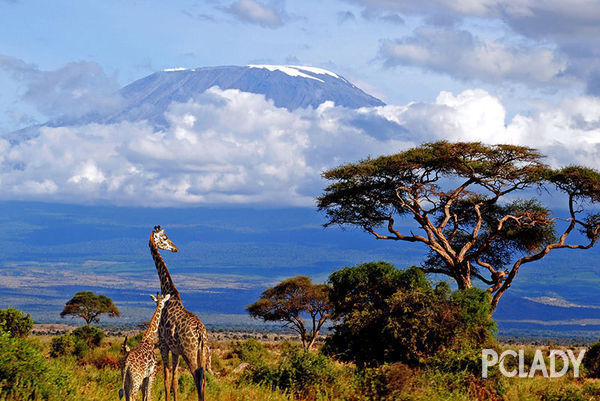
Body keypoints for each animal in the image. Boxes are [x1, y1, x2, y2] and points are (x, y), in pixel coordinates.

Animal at [149, 225, 210, 400]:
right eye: (164, 238)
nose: (175, 248)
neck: (169, 292)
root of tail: (200, 333)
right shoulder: (175, 350)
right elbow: (174, 381)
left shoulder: (163, 344)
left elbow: (166, 379)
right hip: (202, 352)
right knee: (204, 380)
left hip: (190, 353)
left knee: (197, 378)